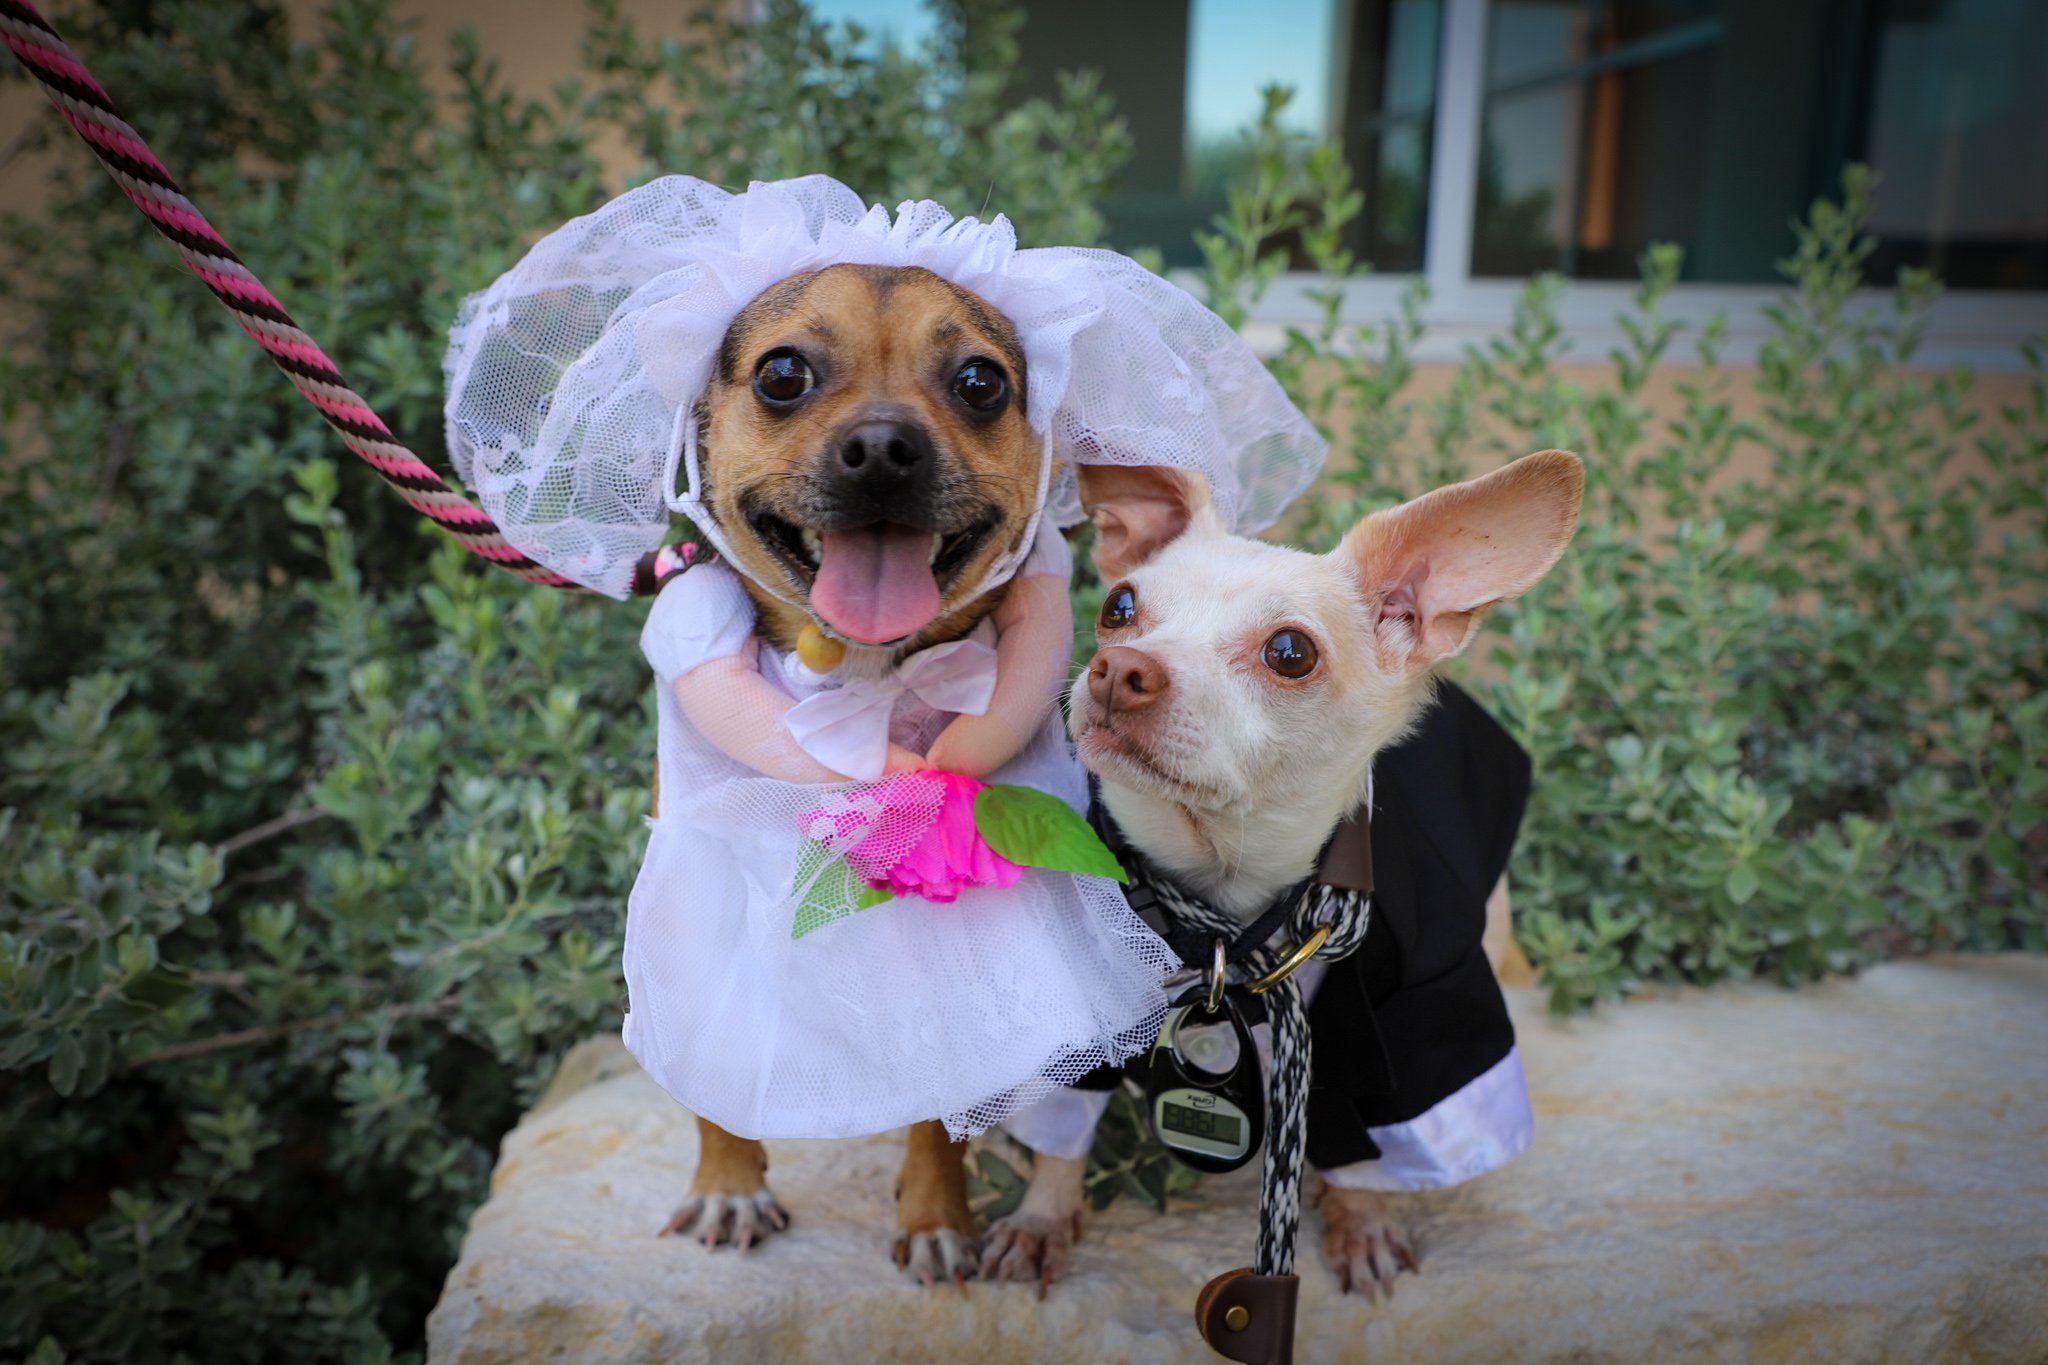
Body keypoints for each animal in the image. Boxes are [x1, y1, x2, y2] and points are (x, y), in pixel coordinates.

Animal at [651, 261, 1048, 1285]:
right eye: (782, 373)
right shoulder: (699, 895)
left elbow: (938, 1109)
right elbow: (714, 1062)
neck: (861, 678)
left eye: (980, 382)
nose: (881, 447)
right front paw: (727, 1182)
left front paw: (937, 1215)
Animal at [974, 450, 1581, 1301]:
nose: (1117, 666)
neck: (1224, 909)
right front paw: (1040, 1217)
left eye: (1290, 652)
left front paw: (1362, 1219)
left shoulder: (1412, 1014)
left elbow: (1374, 1135)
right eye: (1120, 607)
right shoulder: (1082, 997)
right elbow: (1062, 1131)